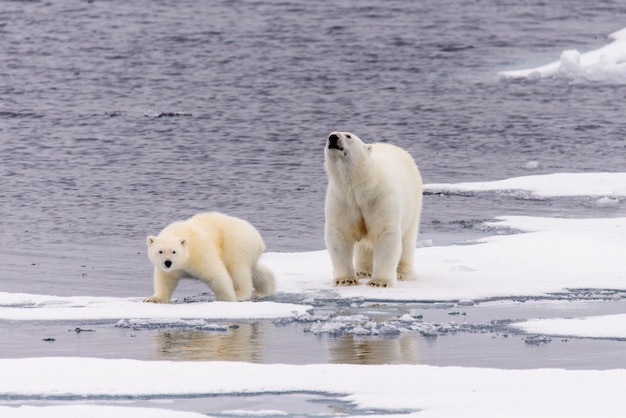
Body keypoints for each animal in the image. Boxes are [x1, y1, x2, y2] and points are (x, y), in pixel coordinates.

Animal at [324, 133, 422, 288]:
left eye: (348, 136)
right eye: (328, 135)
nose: (333, 137)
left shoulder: (380, 197)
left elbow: (385, 232)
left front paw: (380, 282)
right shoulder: (343, 200)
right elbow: (340, 233)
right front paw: (345, 280)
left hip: (413, 204)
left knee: (407, 239)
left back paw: (403, 273)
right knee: (364, 245)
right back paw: (362, 271)